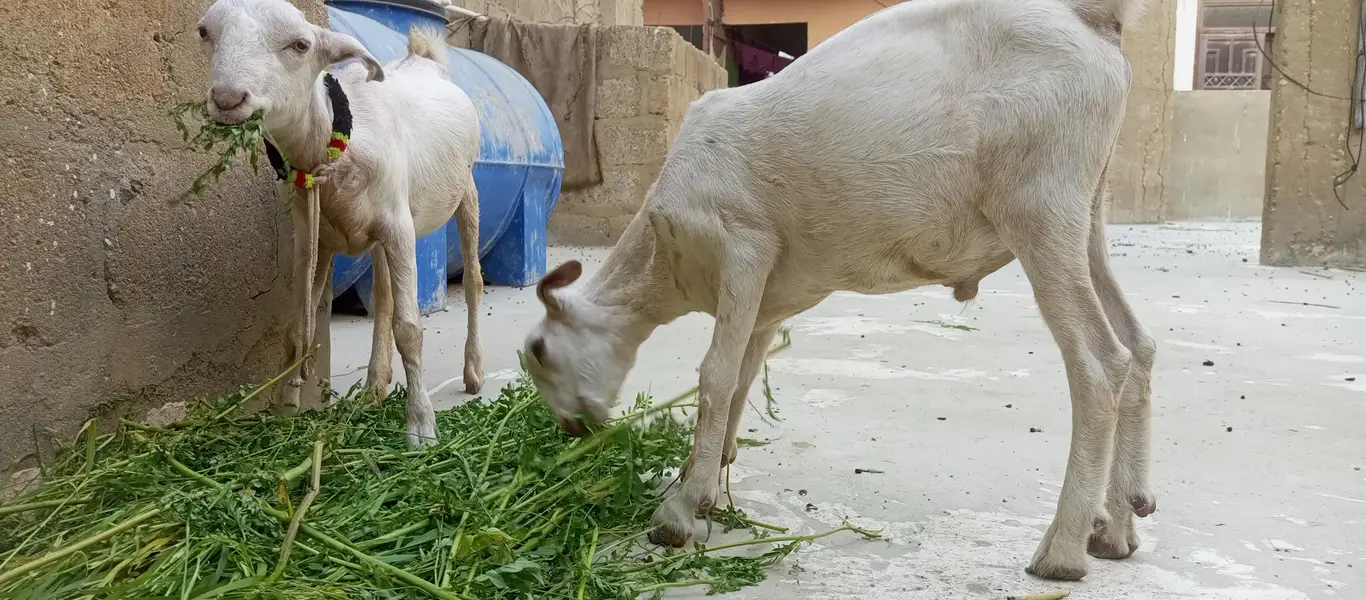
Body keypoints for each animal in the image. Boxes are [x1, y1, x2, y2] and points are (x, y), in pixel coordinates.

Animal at [198, 0, 485, 447]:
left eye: (300, 45)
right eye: (205, 32)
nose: (227, 99)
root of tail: (422, 58)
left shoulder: (400, 229)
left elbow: (410, 328)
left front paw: (421, 426)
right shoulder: (312, 237)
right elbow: (297, 330)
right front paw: (283, 412)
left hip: (466, 188)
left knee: (473, 278)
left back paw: (472, 370)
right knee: (383, 296)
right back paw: (374, 386)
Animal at [523, 0, 1155, 581]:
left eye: (539, 351)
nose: (571, 428)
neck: (664, 256)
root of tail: (1091, 17)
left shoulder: (742, 244)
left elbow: (716, 376)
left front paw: (678, 512)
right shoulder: (766, 299)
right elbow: (742, 376)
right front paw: (705, 479)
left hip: (1039, 203)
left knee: (1100, 362)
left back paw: (1062, 550)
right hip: (1083, 210)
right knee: (1138, 344)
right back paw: (1118, 526)